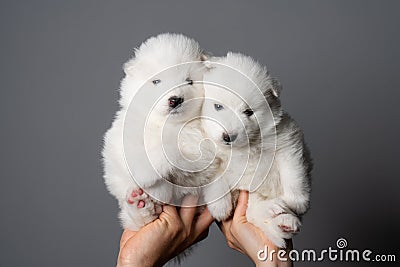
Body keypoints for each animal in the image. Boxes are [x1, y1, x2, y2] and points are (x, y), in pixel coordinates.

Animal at [103, 33, 216, 230]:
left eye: (189, 81)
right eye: (156, 82)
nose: (175, 100)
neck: (166, 124)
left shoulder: (201, 146)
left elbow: (170, 150)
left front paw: (147, 174)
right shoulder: (124, 131)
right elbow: (130, 149)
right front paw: (143, 174)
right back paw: (140, 207)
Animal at [202, 52, 310, 249]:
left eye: (248, 112)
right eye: (218, 107)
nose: (228, 137)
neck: (247, 146)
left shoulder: (287, 141)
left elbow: (293, 171)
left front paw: (297, 201)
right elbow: (214, 176)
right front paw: (220, 206)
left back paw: (285, 219)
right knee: (255, 213)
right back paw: (276, 213)